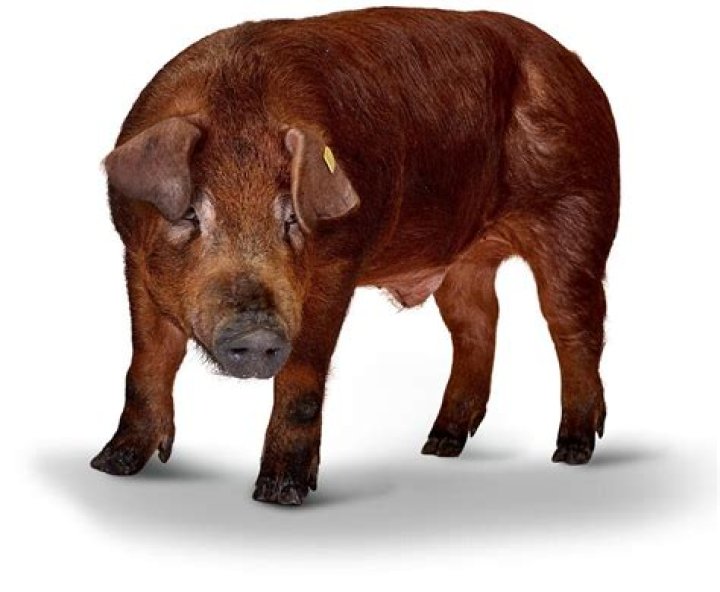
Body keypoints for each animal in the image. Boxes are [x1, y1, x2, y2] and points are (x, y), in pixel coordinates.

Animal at [91, 7, 619, 505]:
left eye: (292, 219)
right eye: (190, 215)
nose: (257, 332)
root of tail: (578, 69)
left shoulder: (338, 263)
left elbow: (302, 373)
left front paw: (280, 494)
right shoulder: (133, 261)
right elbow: (149, 360)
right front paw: (111, 465)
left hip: (580, 217)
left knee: (575, 327)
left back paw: (571, 451)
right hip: (465, 261)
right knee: (478, 324)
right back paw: (439, 445)